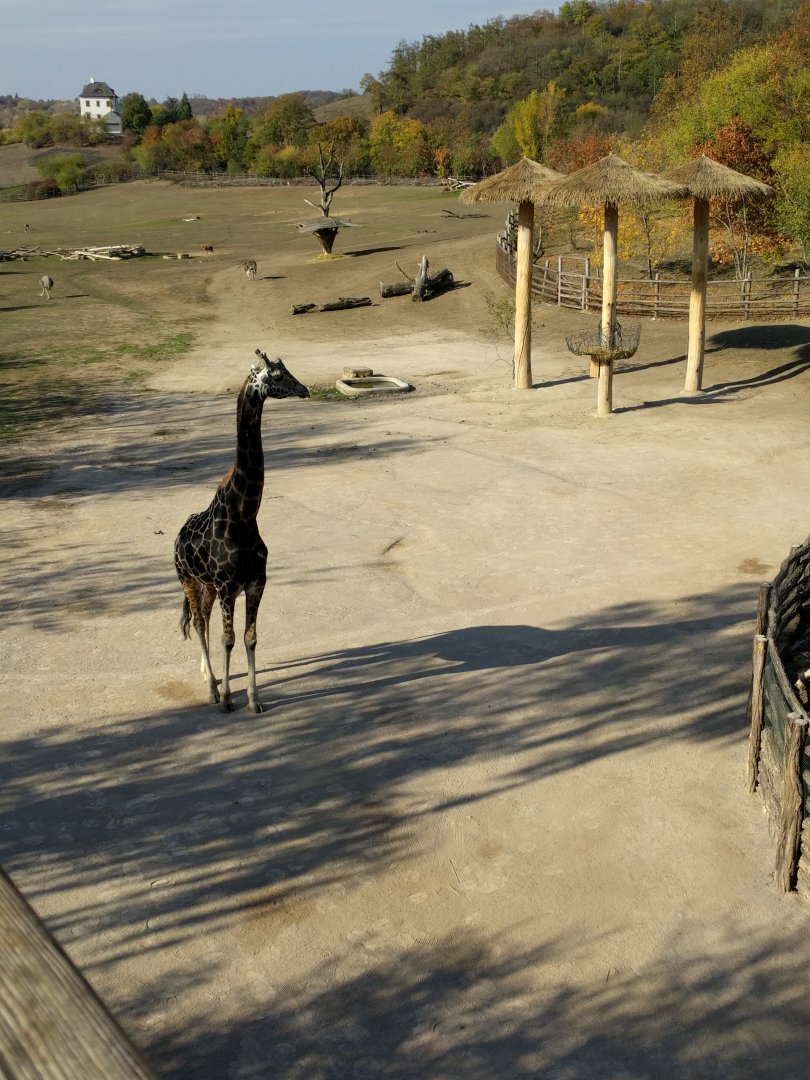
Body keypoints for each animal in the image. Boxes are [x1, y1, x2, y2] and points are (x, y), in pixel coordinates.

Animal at [174, 349, 309, 712]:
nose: (304, 389)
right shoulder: (227, 586)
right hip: (189, 580)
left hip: (206, 586)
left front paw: (253, 699)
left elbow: (250, 638)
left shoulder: (256, 582)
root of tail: (177, 537)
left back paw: (208, 675)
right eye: (276, 375)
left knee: (203, 621)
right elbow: (228, 639)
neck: (244, 515)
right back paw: (212, 688)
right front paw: (226, 699)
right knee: (199, 623)